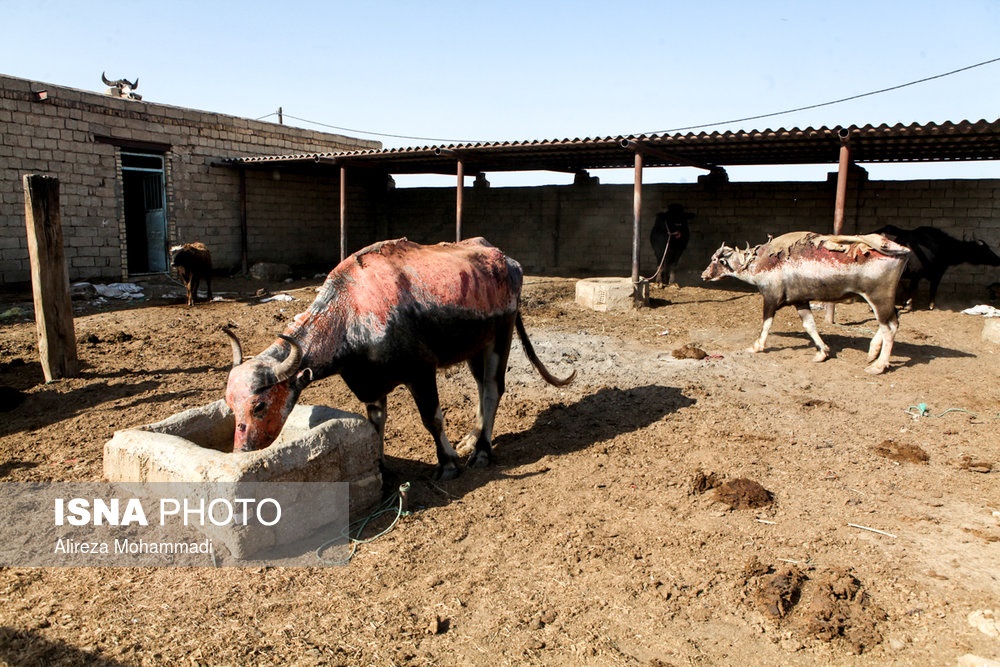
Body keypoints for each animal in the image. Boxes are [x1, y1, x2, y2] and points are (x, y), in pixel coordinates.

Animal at [223, 239, 576, 480]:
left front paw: (448, 463)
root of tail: (505, 260)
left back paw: (481, 453)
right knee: (480, 389)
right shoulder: (370, 385)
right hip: (474, 347)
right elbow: (375, 423)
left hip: (499, 337)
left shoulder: (421, 372)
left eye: (259, 405)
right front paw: (379, 466)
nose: (242, 449)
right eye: (230, 405)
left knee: (491, 389)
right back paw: (471, 439)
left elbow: (432, 418)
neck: (351, 311)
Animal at [700, 232, 912, 374]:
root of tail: (901, 250)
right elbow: (810, 326)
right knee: (894, 320)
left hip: (878, 298)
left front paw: (756, 346)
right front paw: (822, 352)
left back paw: (878, 365)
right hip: (885, 300)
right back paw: (873, 351)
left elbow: (766, 323)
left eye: (714, 259)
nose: (703, 275)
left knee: (889, 326)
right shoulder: (800, 301)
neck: (758, 261)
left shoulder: (770, 298)